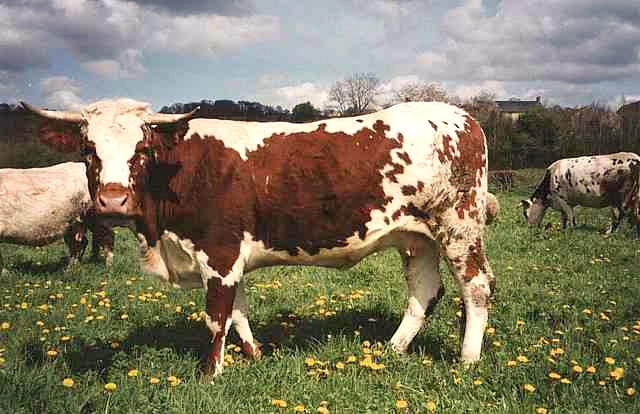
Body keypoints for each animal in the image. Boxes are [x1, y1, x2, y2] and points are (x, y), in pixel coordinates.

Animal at [23, 98, 495, 378]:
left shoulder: (218, 251)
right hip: (417, 238)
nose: (113, 200)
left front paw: (209, 374)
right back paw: (391, 350)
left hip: (459, 225)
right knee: (424, 291)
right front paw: (254, 355)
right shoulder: (229, 257)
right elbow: (238, 311)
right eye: (88, 150)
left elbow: (217, 316)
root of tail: (460, 115)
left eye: (142, 150)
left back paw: (468, 359)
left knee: (476, 287)